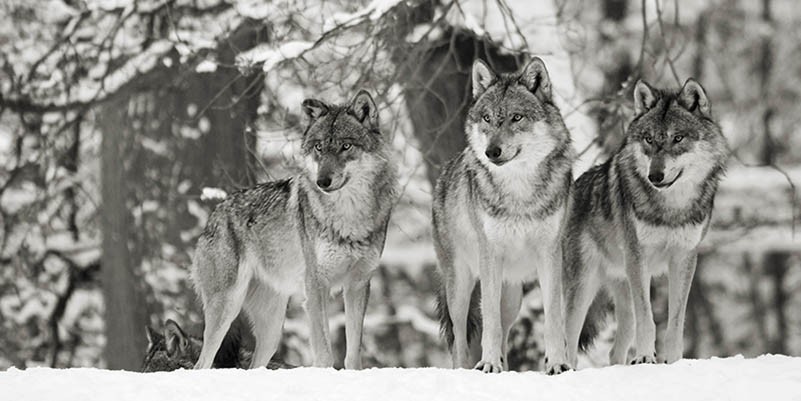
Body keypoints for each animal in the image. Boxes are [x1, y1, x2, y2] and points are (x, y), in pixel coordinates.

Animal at [191, 90, 398, 370]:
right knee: (201, 363)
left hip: (272, 331)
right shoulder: (316, 285)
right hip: (226, 308)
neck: (348, 216)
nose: (322, 181)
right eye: (319, 147)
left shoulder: (359, 284)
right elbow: (324, 353)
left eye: (346, 146)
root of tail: (214, 214)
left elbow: (354, 353)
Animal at [433, 57, 575, 374]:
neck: (519, 192)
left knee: (505, 330)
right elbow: (489, 324)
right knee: (460, 339)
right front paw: (487, 364)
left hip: (512, 297)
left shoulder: (550, 254)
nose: (491, 152)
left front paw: (556, 364)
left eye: (516, 118)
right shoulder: (490, 255)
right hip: (460, 287)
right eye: (487, 118)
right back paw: (466, 368)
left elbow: (553, 319)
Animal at [562, 79, 727, 367]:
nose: (655, 176)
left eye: (678, 138)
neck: (671, 208)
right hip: (583, 288)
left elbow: (675, 323)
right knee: (568, 341)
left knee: (614, 350)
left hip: (622, 294)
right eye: (649, 139)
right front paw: (645, 358)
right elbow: (648, 319)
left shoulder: (684, 259)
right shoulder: (638, 258)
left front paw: (673, 361)